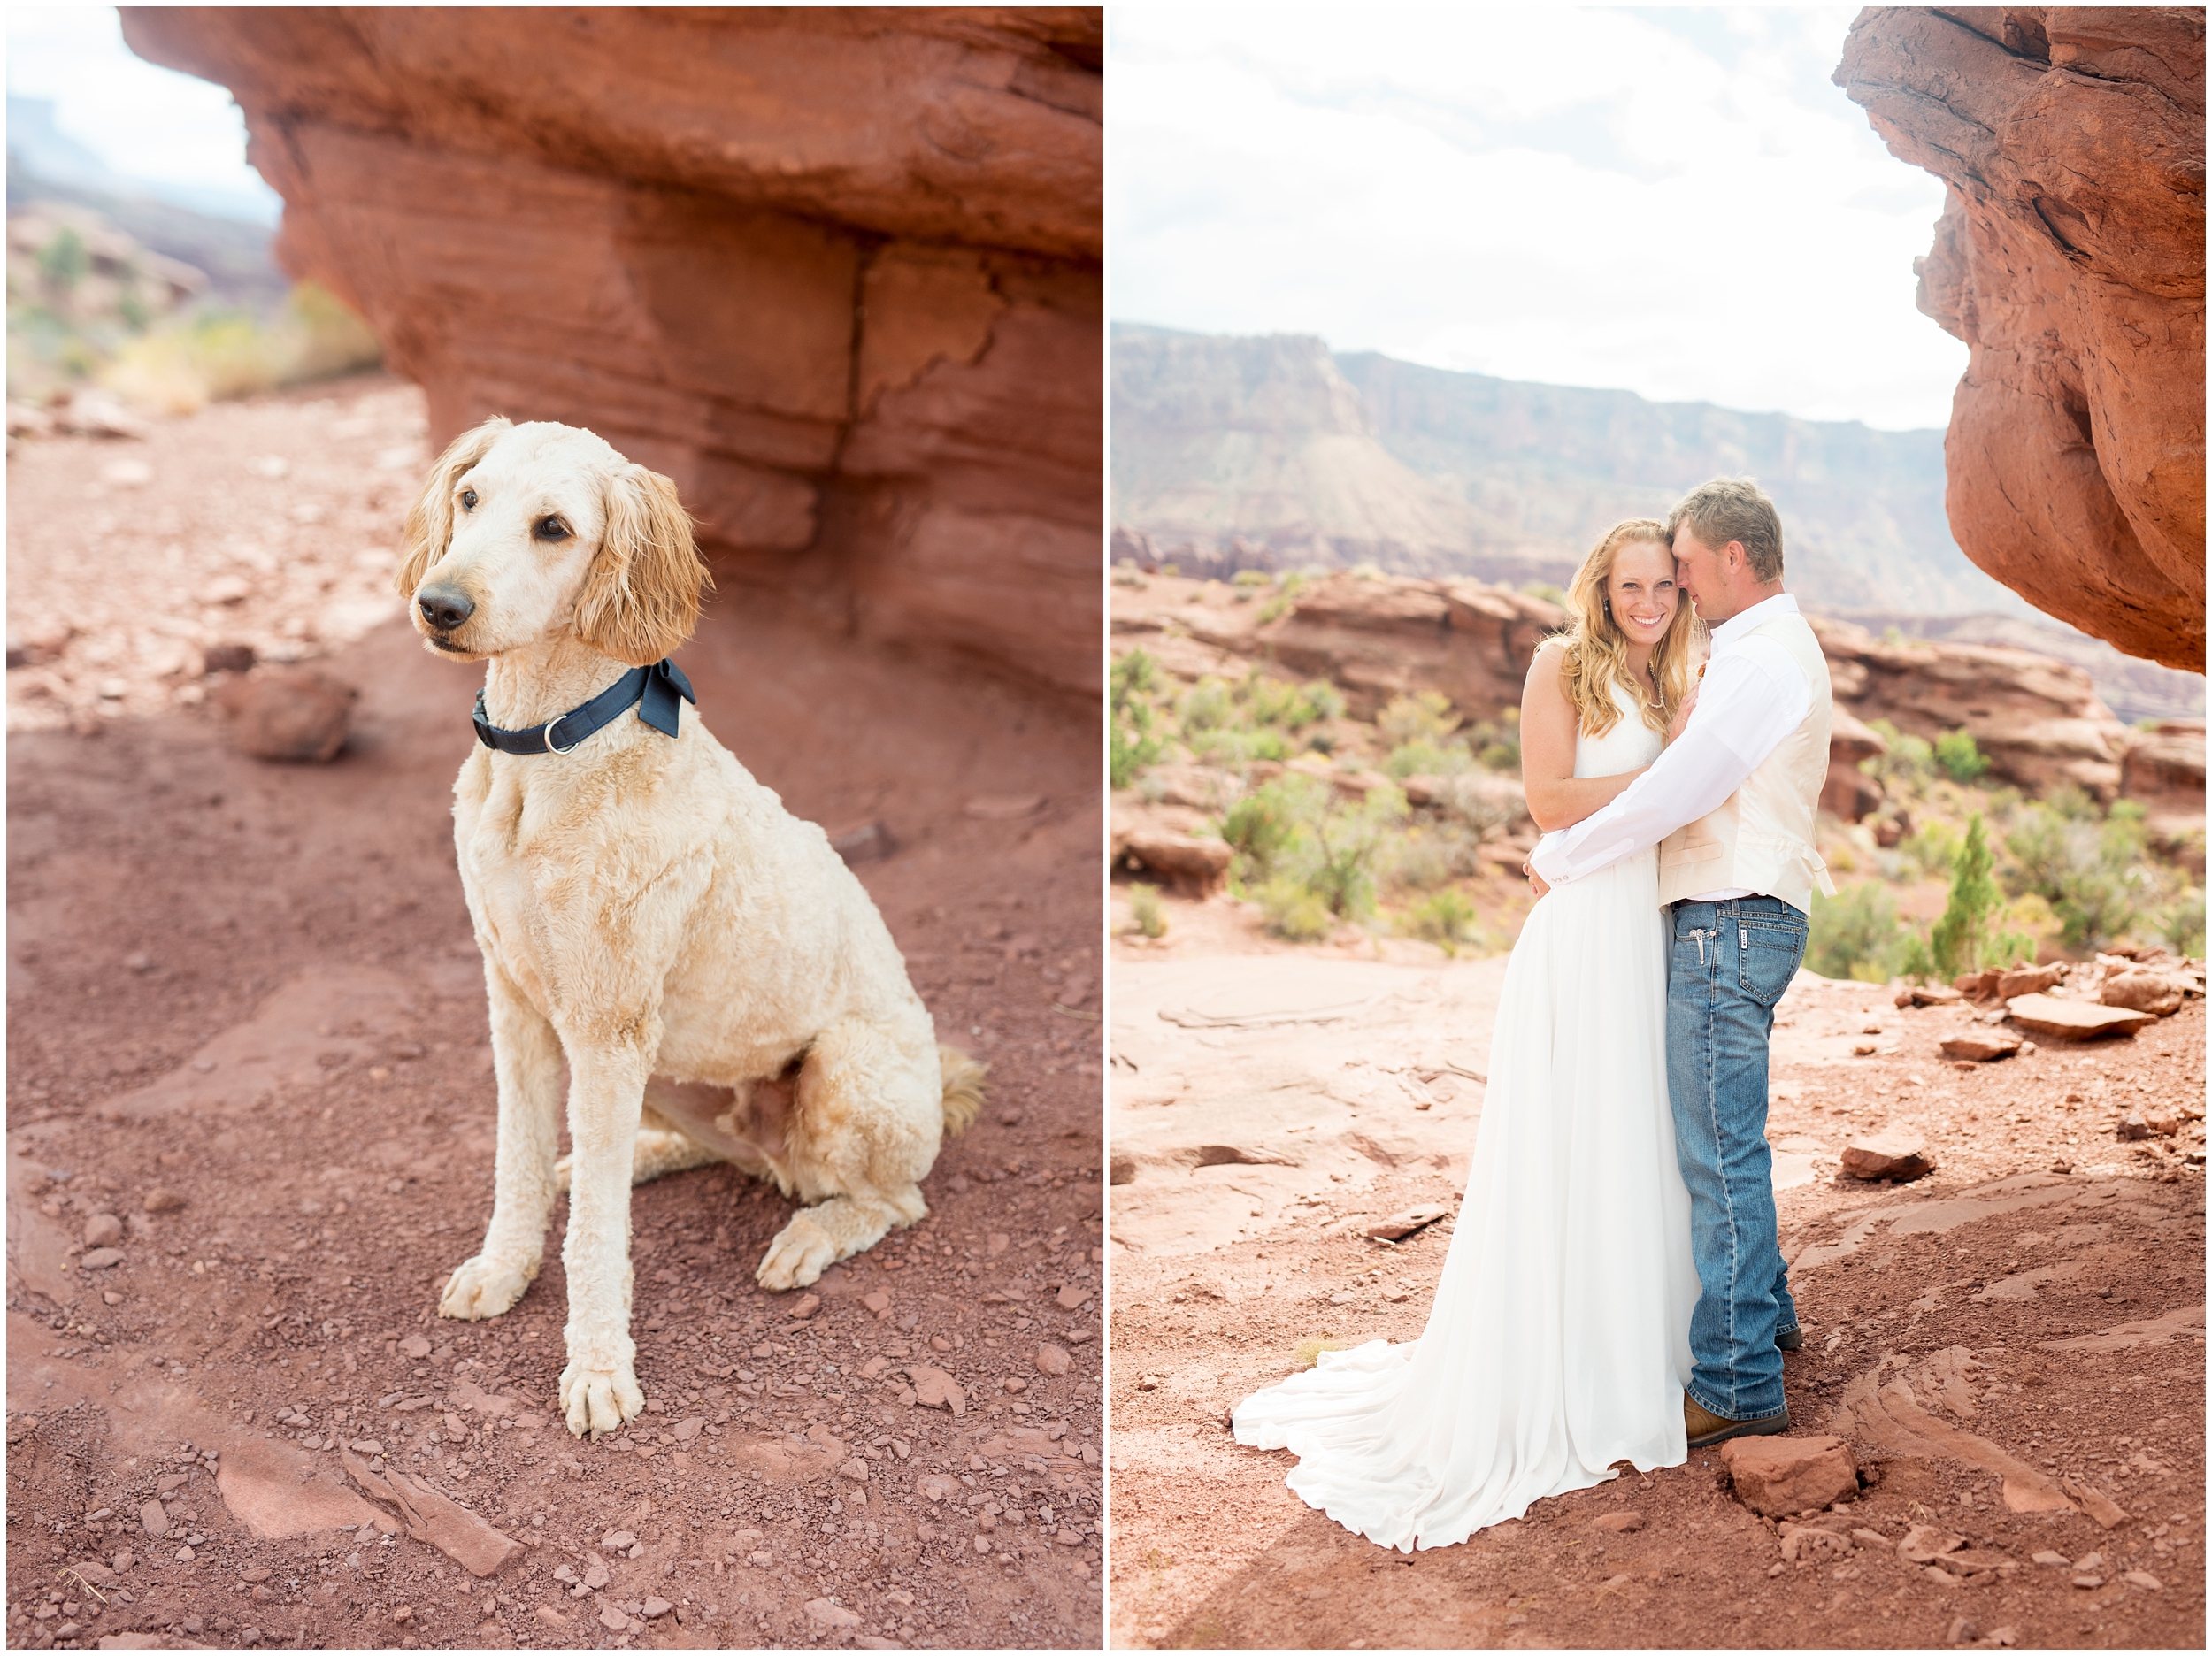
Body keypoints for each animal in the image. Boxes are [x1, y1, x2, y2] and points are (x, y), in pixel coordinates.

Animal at [398, 413, 987, 1432]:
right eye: (469, 498)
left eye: (554, 528)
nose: (439, 606)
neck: (548, 752)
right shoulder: (516, 1002)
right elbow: (519, 1159)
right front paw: (505, 1268)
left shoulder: (605, 1024)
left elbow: (596, 1235)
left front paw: (598, 1370)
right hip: (665, 1068)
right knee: (707, 1156)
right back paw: (648, 1153)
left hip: (847, 1070)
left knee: (892, 1200)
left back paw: (810, 1235)